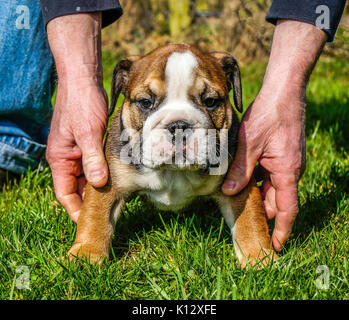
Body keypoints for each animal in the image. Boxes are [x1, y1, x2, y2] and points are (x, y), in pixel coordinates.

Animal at [68, 42, 276, 268]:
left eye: (210, 101)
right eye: (145, 102)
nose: (179, 126)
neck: (173, 171)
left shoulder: (238, 183)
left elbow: (250, 219)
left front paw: (259, 256)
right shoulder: (108, 181)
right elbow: (96, 215)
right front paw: (86, 254)